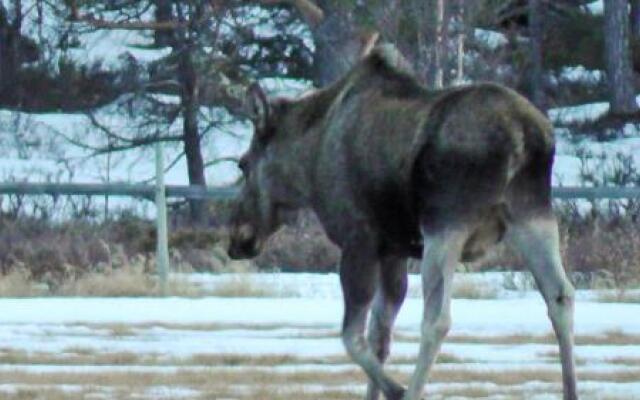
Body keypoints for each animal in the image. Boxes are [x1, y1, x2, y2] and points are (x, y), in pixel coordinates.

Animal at [228, 42, 576, 398]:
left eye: (243, 164)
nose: (238, 238)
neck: (308, 164)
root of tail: (524, 137)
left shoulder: (359, 238)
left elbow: (351, 336)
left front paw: (396, 390)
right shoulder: (393, 250)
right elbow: (379, 336)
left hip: (446, 225)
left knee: (437, 319)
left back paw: (414, 390)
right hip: (532, 215)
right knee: (560, 296)